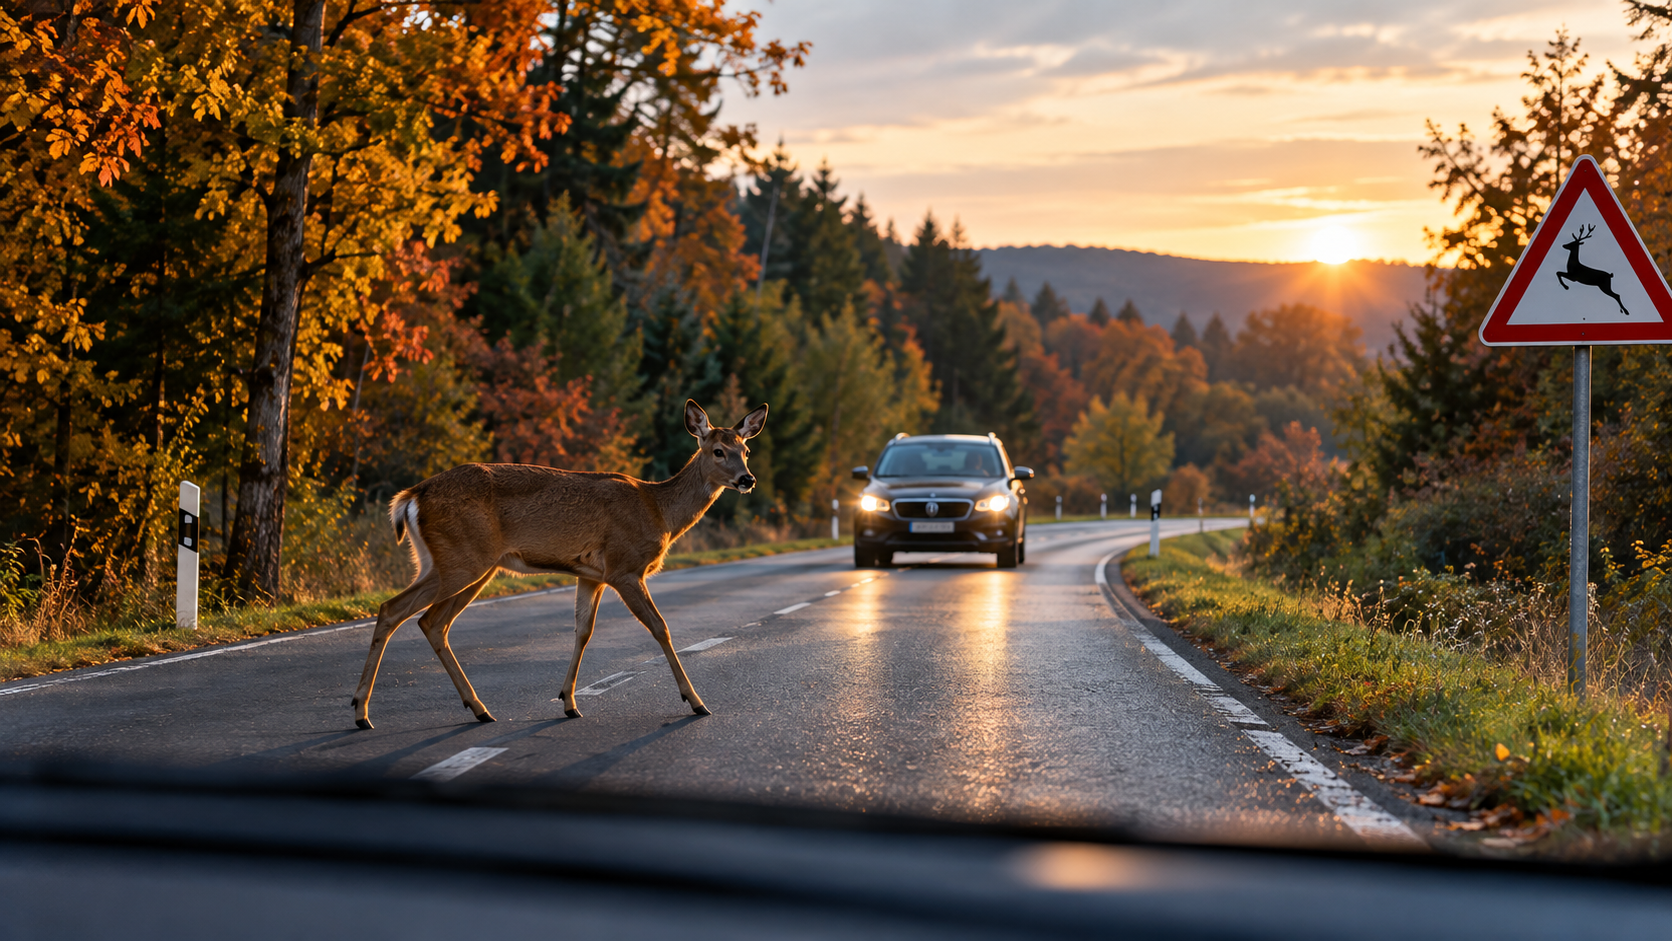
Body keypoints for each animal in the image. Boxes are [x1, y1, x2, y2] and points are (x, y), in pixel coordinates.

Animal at [350, 399, 768, 730]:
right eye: (718, 450)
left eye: (746, 450)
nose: (748, 479)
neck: (658, 511)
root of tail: (412, 496)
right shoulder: (623, 566)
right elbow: (660, 627)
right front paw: (695, 701)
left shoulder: (592, 575)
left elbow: (583, 631)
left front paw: (569, 702)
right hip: (463, 559)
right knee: (405, 612)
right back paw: (369, 712)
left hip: (455, 563)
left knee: (421, 619)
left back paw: (467, 709)